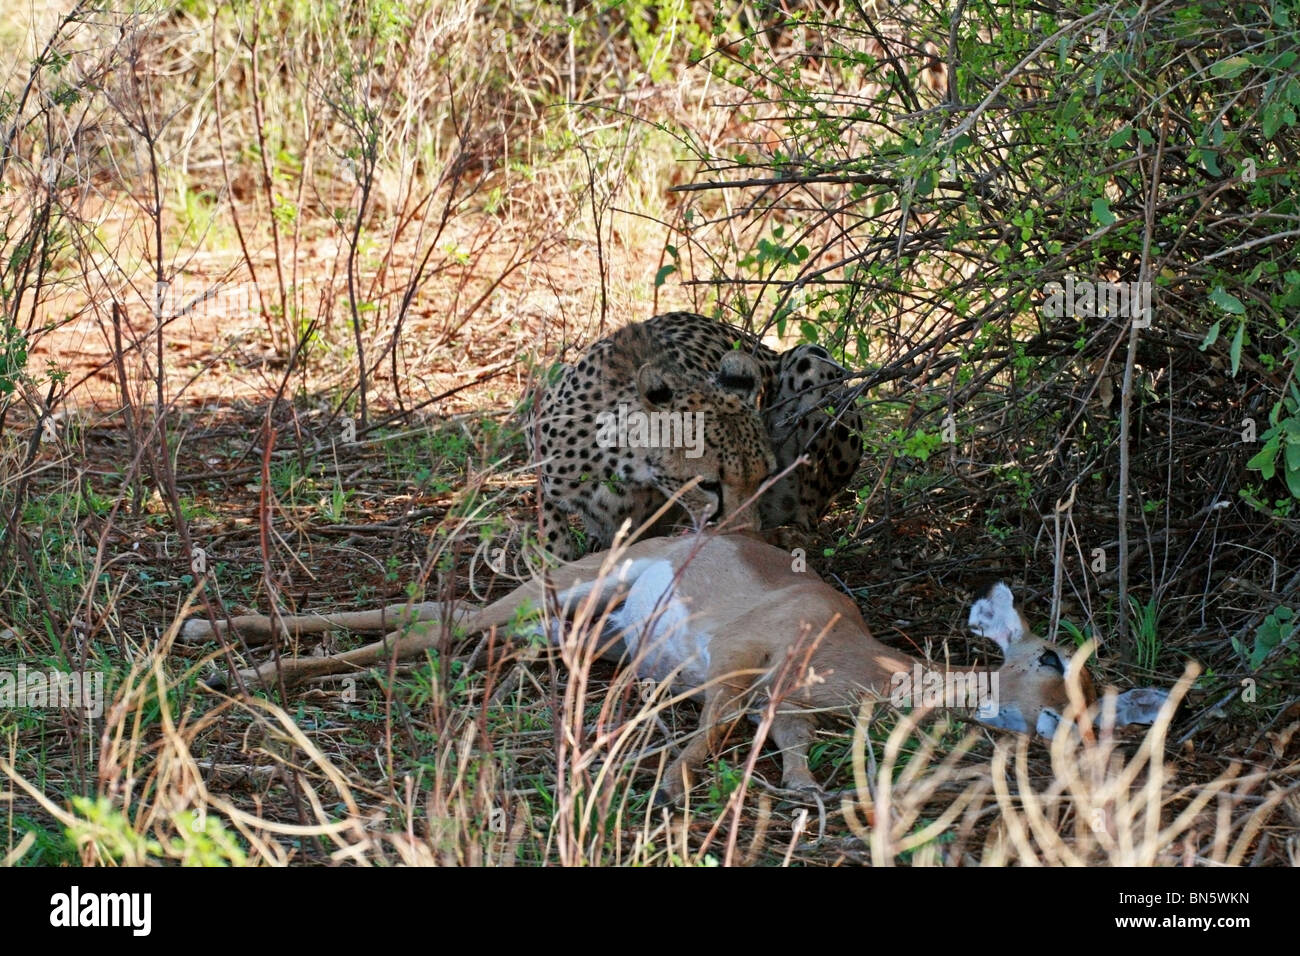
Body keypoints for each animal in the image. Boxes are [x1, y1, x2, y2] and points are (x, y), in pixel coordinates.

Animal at [527, 312, 863, 561]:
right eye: (707, 484)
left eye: (765, 477)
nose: (744, 533)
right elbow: (553, 536)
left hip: (811, 356)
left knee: (808, 516)